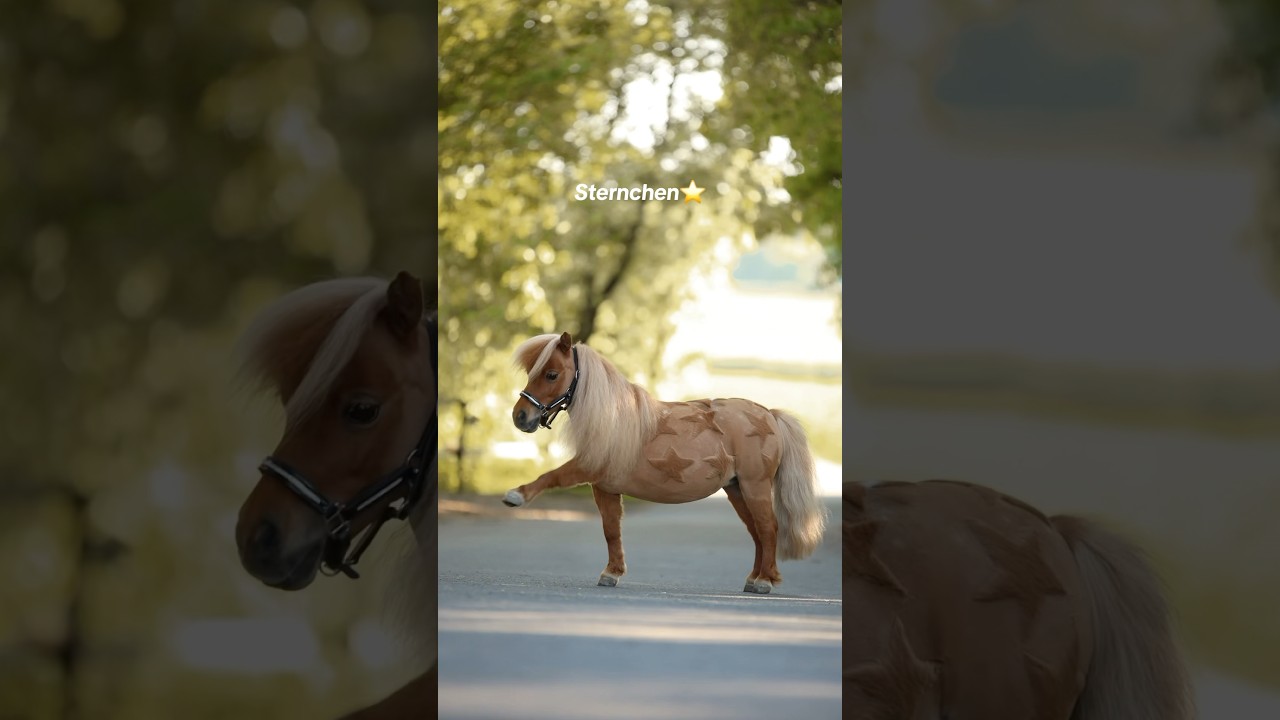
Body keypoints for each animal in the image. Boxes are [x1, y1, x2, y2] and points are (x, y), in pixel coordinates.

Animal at [504, 331, 828, 593]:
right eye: (533, 371)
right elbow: (611, 530)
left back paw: (764, 581)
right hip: (737, 490)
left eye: (552, 374)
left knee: (769, 528)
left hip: (755, 486)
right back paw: (753, 579)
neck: (614, 419)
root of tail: (769, 415)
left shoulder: (586, 467)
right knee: (757, 532)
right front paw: (612, 573)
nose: (520, 417)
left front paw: (516, 496)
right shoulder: (604, 487)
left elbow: (552, 476)